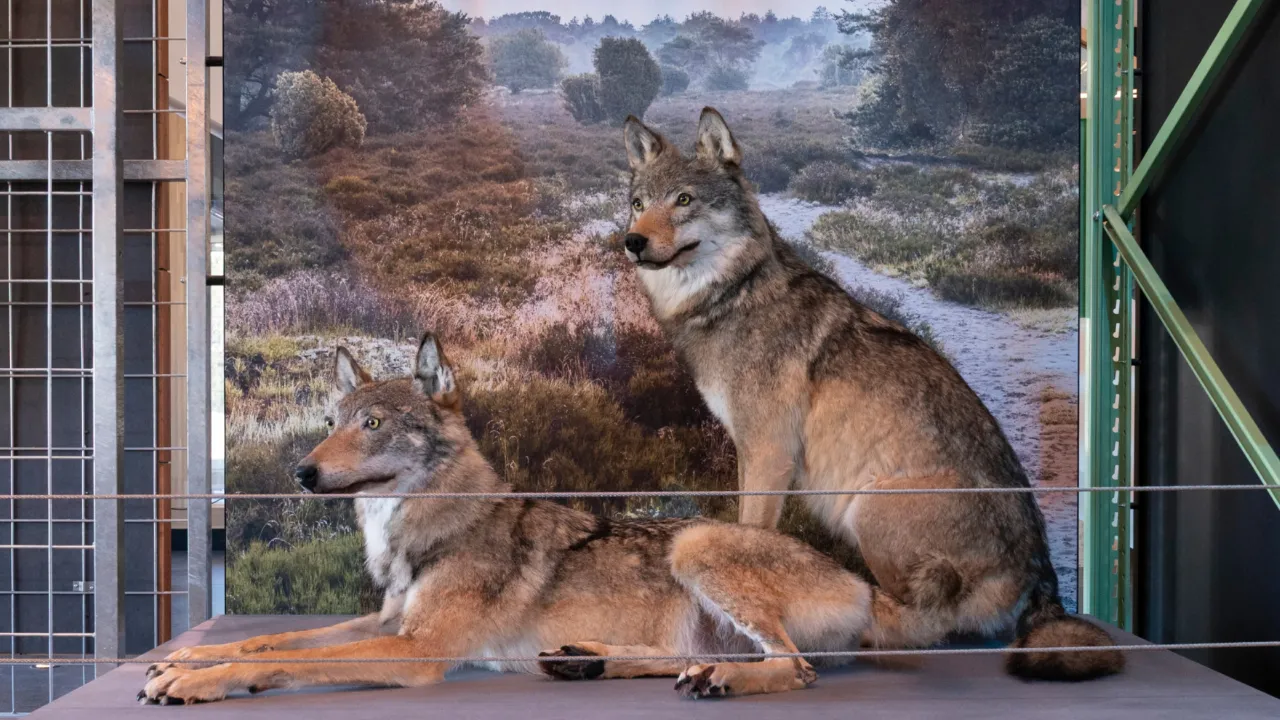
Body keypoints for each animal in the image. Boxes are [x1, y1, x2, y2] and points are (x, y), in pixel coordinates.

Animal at [140, 333, 921, 704]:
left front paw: (198, 681)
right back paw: (587, 661)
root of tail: (865, 584)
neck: (416, 531)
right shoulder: (387, 622)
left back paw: (712, 681)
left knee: (793, 668)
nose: (301, 473)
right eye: (331, 423)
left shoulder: (415, 648)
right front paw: (185, 658)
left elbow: (279, 657)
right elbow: (267, 640)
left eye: (374, 424)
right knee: (698, 657)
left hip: (699, 544)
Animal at [618, 108, 1123, 681]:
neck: (732, 297)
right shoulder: (750, 452)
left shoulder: (769, 453)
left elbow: (752, 536)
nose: (632, 242)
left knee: (926, 626)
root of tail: (1044, 578)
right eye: (638, 204)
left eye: (684, 199)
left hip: (869, 505)